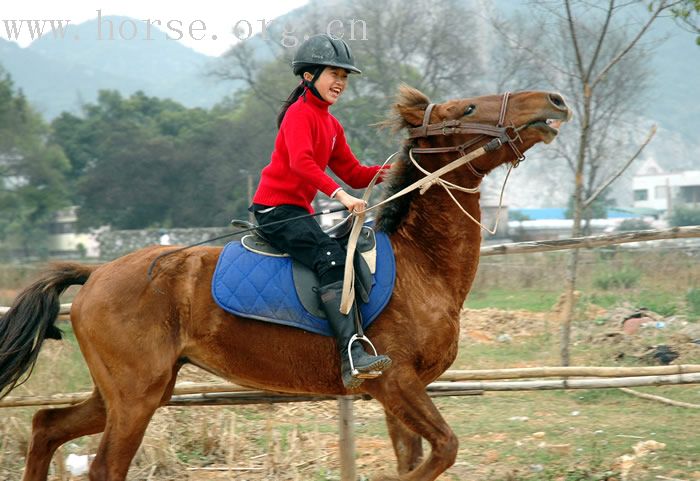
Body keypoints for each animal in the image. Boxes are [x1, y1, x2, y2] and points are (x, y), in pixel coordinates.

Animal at [0, 86, 568, 480]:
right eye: (469, 108)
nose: (554, 101)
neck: (421, 265)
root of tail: (96, 272)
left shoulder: (401, 394)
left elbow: (416, 460)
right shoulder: (394, 382)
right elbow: (442, 450)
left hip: (132, 392)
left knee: (45, 426)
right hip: (135, 397)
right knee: (103, 466)